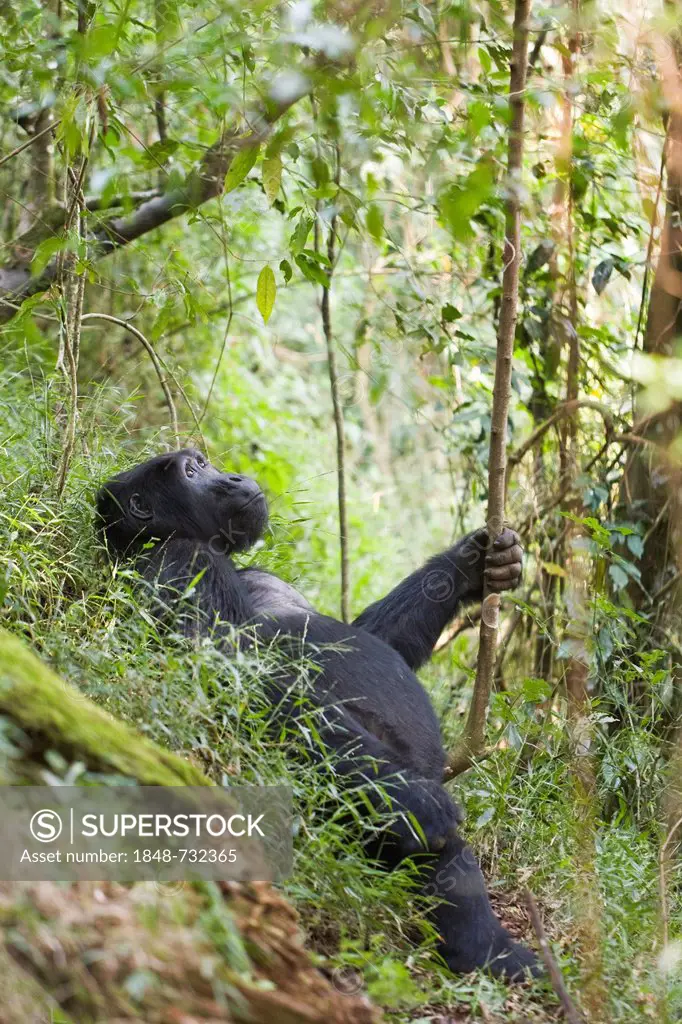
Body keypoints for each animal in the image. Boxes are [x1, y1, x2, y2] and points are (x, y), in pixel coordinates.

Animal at [95, 448, 536, 974]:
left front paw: (475, 561)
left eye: (202, 462)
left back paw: (492, 952)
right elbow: (224, 668)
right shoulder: (182, 563)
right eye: (191, 471)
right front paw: (412, 798)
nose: (232, 476)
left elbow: (373, 634)